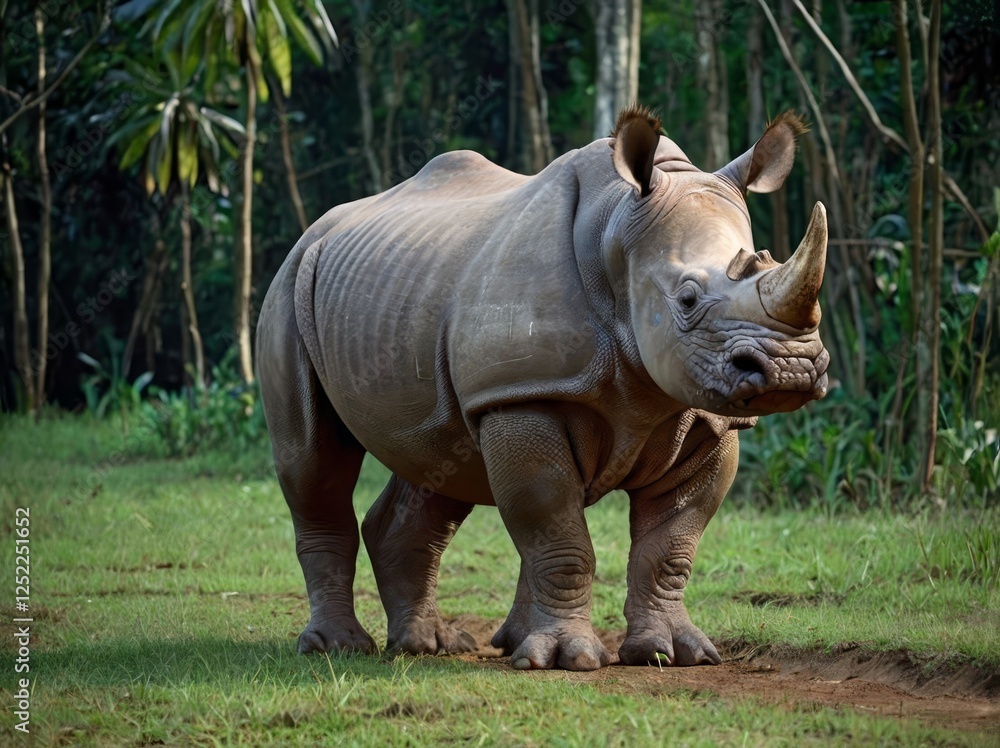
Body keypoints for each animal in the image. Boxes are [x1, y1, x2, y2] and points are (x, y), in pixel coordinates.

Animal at [256, 105, 830, 671]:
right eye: (686, 299)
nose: (792, 368)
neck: (616, 234)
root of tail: (316, 230)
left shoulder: (709, 415)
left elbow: (670, 546)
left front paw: (674, 654)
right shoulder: (523, 392)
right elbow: (558, 532)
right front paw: (567, 659)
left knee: (442, 462)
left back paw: (428, 646)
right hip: (288, 286)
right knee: (313, 461)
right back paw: (337, 647)